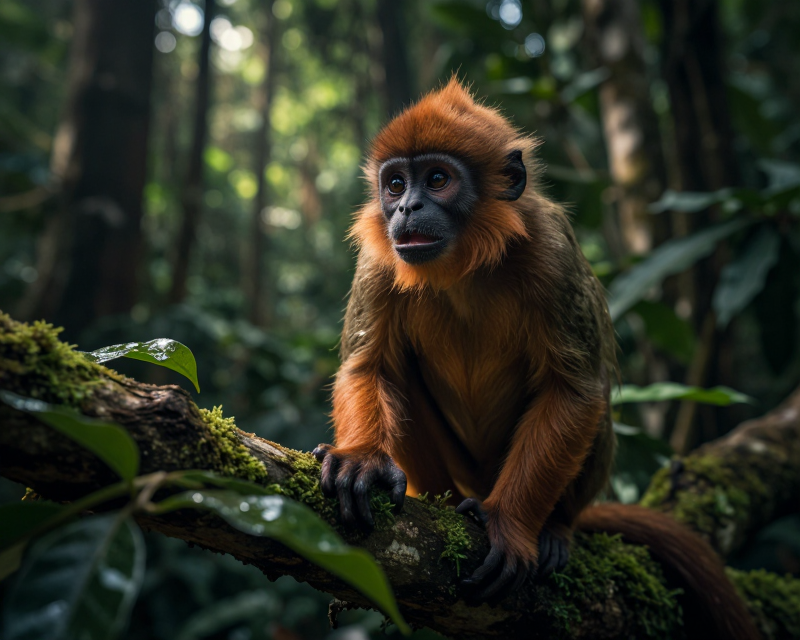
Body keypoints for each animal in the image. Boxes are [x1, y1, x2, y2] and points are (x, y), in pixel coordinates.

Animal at [313, 78, 759, 640]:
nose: (405, 210)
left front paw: (511, 526)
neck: (465, 267)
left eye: (437, 179)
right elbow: (368, 366)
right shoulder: (380, 258)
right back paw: (436, 502)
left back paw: (554, 528)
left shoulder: (551, 250)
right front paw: (363, 461)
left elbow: (575, 390)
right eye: (394, 185)